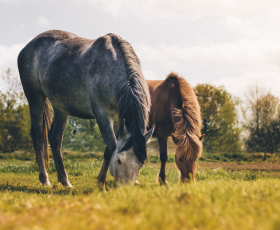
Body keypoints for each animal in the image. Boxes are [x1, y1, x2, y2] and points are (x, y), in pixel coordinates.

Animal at [18, 29, 153, 190]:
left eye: (141, 164)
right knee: (38, 137)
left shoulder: (118, 119)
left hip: (61, 107)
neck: (110, 68)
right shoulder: (102, 115)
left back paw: (65, 181)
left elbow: (109, 149)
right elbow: (112, 147)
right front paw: (101, 184)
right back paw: (45, 180)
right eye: (119, 160)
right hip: (35, 98)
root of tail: (28, 46)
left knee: (55, 139)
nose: (124, 190)